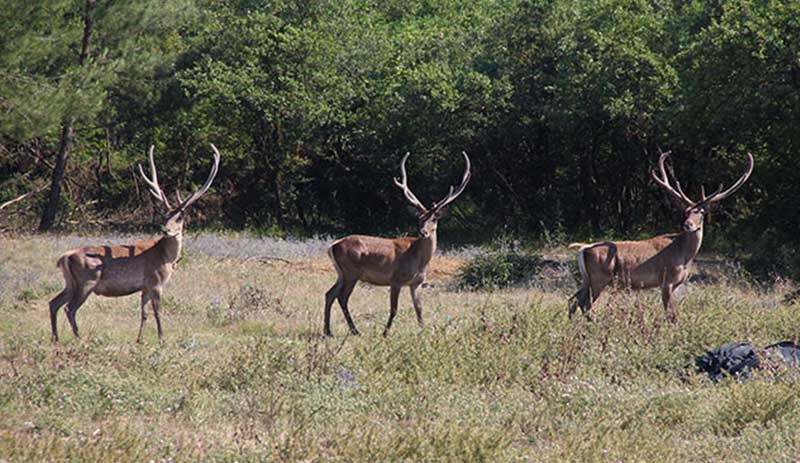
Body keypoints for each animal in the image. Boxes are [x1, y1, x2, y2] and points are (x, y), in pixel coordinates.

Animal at [49, 145, 219, 344]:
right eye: (165, 215)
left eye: (180, 217)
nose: (165, 229)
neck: (166, 257)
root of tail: (65, 257)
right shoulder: (155, 282)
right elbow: (157, 312)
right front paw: (161, 339)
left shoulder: (144, 287)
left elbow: (144, 313)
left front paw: (139, 339)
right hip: (87, 281)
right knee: (70, 308)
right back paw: (79, 338)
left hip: (70, 283)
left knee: (54, 303)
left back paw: (55, 338)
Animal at [324, 152, 472, 338]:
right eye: (419, 218)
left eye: (434, 219)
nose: (423, 232)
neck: (420, 260)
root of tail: (333, 246)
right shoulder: (396, 279)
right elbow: (394, 309)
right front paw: (385, 333)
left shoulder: (416, 283)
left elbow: (419, 309)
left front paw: (423, 331)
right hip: (352, 271)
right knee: (342, 297)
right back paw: (355, 330)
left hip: (341, 273)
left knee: (329, 294)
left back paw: (328, 331)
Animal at [568, 151, 752, 322]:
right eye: (685, 212)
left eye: (701, 213)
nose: (688, 225)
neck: (684, 256)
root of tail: (583, 249)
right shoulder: (666, 280)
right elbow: (671, 315)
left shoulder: (676, 283)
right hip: (600, 277)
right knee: (584, 304)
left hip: (588, 280)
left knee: (574, 302)